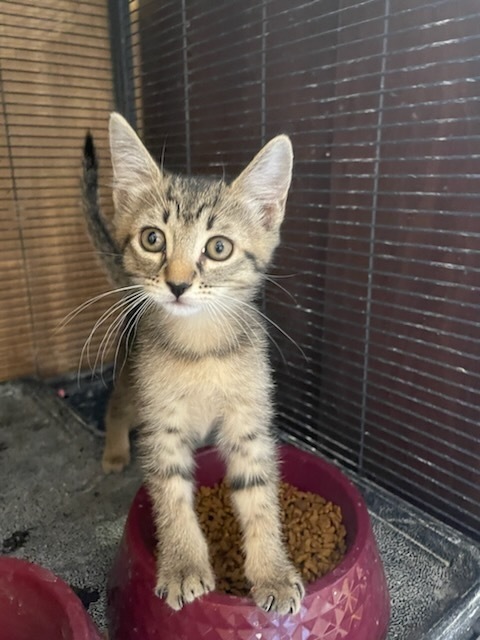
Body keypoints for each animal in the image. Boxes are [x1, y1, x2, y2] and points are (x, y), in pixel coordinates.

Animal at [80, 114, 302, 616]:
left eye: (218, 248)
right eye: (152, 239)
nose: (178, 284)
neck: (200, 349)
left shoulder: (248, 421)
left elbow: (258, 494)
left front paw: (273, 572)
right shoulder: (162, 427)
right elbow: (171, 494)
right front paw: (182, 564)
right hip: (131, 381)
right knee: (116, 406)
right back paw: (114, 451)